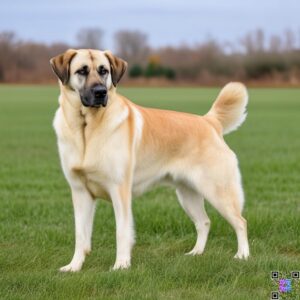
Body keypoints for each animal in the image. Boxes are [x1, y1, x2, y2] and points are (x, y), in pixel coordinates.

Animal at [50, 49, 250, 272]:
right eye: (82, 71)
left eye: (104, 71)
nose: (101, 92)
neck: (86, 127)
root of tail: (209, 121)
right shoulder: (80, 192)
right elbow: (81, 235)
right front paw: (74, 267)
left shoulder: (119, 191)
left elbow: (122, 232)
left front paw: (121, 266)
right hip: (188, 194)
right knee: (204, 222)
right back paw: (196, 253)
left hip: (218, 191)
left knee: (240, 222)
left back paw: (242, 255)